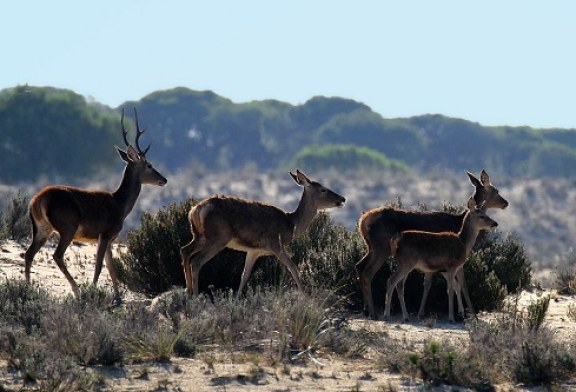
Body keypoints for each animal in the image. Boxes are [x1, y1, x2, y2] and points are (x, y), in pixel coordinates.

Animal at [24, 108, 166, 302]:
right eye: (149, 165)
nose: (164, 180)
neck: (120, 205)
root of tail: (37, 201)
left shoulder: (110, 238)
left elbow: (111, 268)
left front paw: (118, 298)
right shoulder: (105, 233)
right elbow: (99, 266)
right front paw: (94, 291)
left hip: (41, 228)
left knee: (29, 253)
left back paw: (28, 289)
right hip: (67, 226)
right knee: (57, 255)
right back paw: (77, 290)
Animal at [179, 169, 346, 298]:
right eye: (323, 189)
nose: (343, 198)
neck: (291, 224)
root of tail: (195, 210)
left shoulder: (254, 250)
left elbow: (244, 275)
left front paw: (237, 299)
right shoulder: (275, 244)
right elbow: (293, 267)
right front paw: (305, 297)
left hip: (199, 235)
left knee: (185, 250)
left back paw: (188, 291)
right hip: (218, 237)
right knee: (196, 261)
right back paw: (196, 296)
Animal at [356, 170, 508, 320]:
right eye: (496, 191)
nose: (505, 203)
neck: (459, 226)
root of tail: (363, 220)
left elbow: (431, 284)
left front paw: (425, 312)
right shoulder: (452, 263)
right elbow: (461, 285)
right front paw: (466, 314)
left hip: (372, 247)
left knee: (360, 266)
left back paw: (366, 310)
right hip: (382, 247)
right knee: (370, 273)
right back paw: (374, 313)